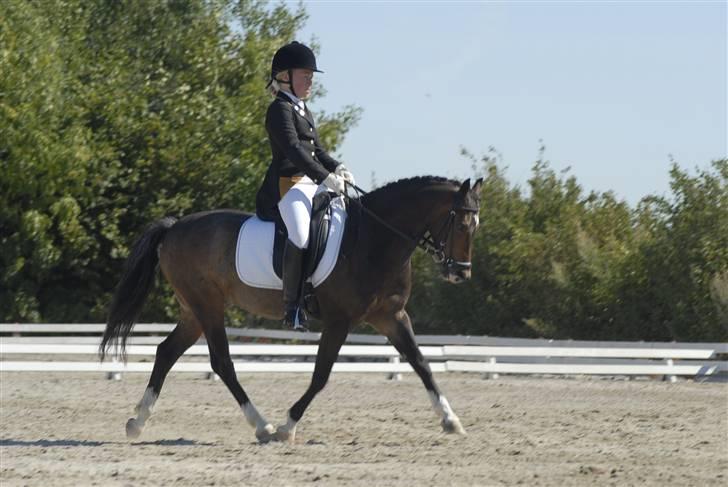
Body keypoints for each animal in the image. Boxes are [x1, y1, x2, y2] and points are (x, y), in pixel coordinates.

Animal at [100, 175, 483, 443]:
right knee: (222, 363)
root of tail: (173, 227)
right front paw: (288, 426)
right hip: (207, 306)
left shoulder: (391, 317)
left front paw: (450, 420)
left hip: (194, 311)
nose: (461, 273)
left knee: (166, 352)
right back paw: (263, 425)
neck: (374, 239)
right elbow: (321, 375)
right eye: (462, 224)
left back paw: (137, 421)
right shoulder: (339, 321)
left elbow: (421, 364)